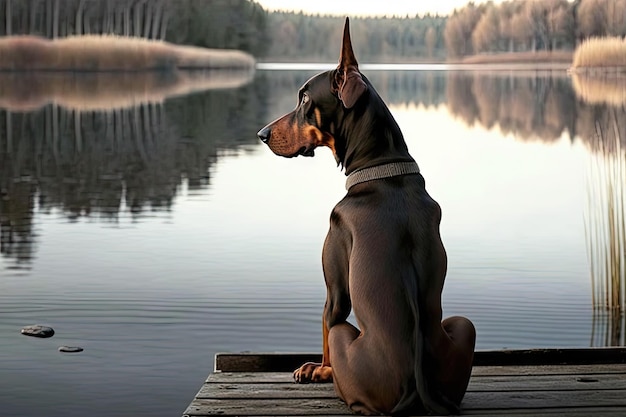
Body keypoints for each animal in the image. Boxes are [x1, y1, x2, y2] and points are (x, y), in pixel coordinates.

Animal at [256, 17, 476, 414]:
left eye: (305, 99)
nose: (262, 134)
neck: (381, 166)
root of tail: (414, 389)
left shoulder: (336, 290)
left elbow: (327, 321)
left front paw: (319, 369)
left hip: (349, 338)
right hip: (464, 326)